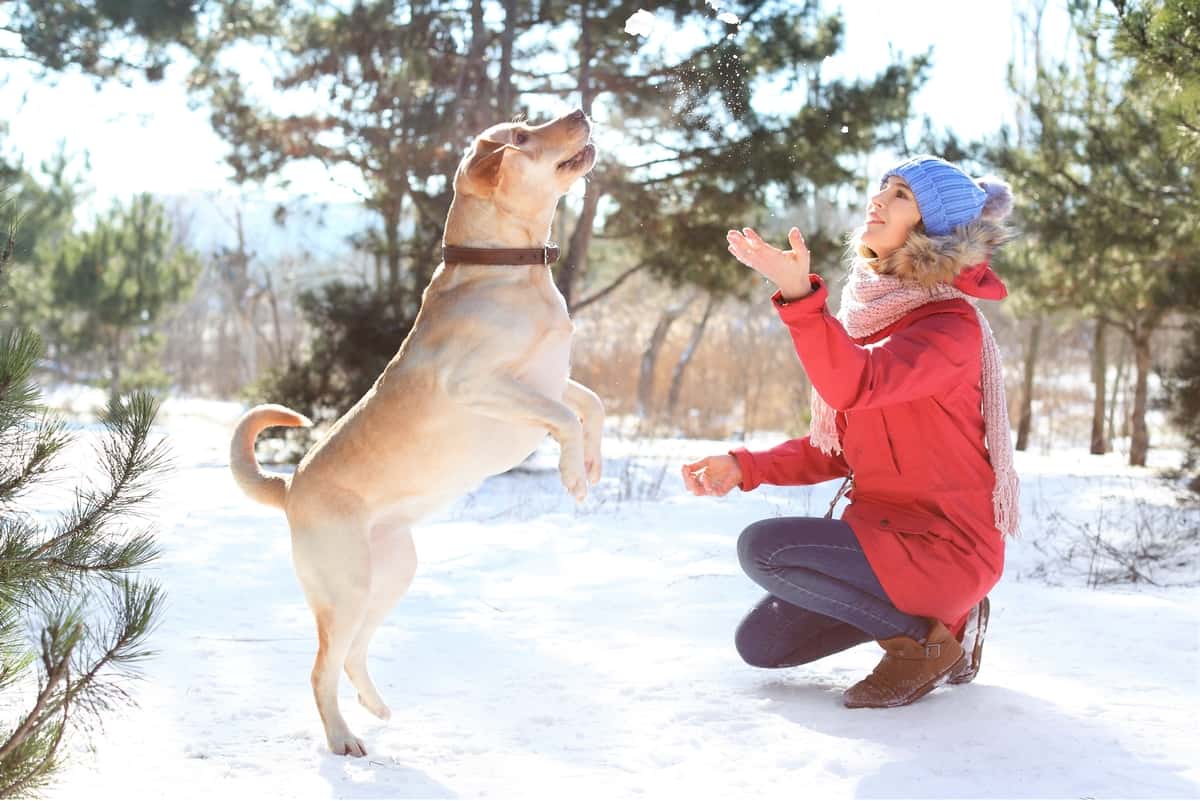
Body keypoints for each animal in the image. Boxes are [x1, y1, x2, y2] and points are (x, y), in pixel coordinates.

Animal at [226, 107, 600, 757]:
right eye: (521, 136)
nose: (579, 112)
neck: (508, 268)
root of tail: (290, 486)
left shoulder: (549, 382)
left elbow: (590, 406)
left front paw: (594, 463)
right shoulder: (480, 384)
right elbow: (568, 418)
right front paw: (574, 476)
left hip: (394, 572)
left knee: (354, 653)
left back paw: (375, 707)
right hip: (347, 587)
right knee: (322, 667)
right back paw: (343, 738)